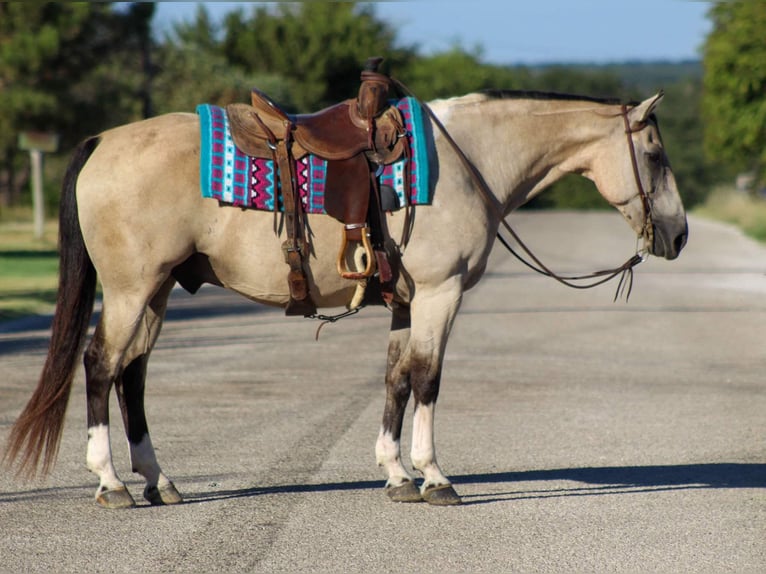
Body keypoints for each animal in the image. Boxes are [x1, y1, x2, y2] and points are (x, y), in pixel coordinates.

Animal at [4, 89, 688, 508]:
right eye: (655, 154)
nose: (679, 235)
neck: (469, 162)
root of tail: (102, 142)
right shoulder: (440, 294)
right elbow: (428, 378)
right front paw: (434, 477)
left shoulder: (408, 302)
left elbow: (396, 379)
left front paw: (397, 474)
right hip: (130, 289)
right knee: (101, 367)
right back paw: (111, 482)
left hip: (157, 290)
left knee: (132, 375)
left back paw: (158, 480)